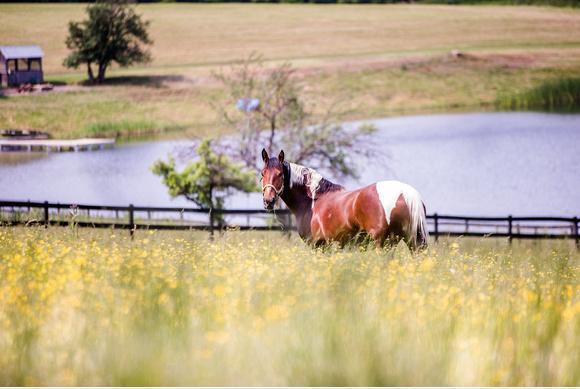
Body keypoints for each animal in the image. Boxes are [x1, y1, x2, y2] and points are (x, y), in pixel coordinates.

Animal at [260, 147, 428, 250]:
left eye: (280, 174)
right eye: (262, 173)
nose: (268, 201)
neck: (312, 202)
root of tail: (405, 192)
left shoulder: (320, 246)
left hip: (382, 243)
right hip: (408, 240)